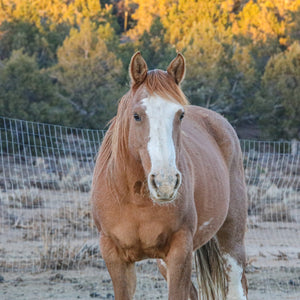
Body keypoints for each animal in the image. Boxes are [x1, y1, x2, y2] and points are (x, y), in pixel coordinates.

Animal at [92, 52, 248, 298]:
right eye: (136, 115)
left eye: (180, 115)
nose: (165, 183)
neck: (134, 198)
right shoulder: (114, 255)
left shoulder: (180, 250)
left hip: (231, 238)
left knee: (236, 286)